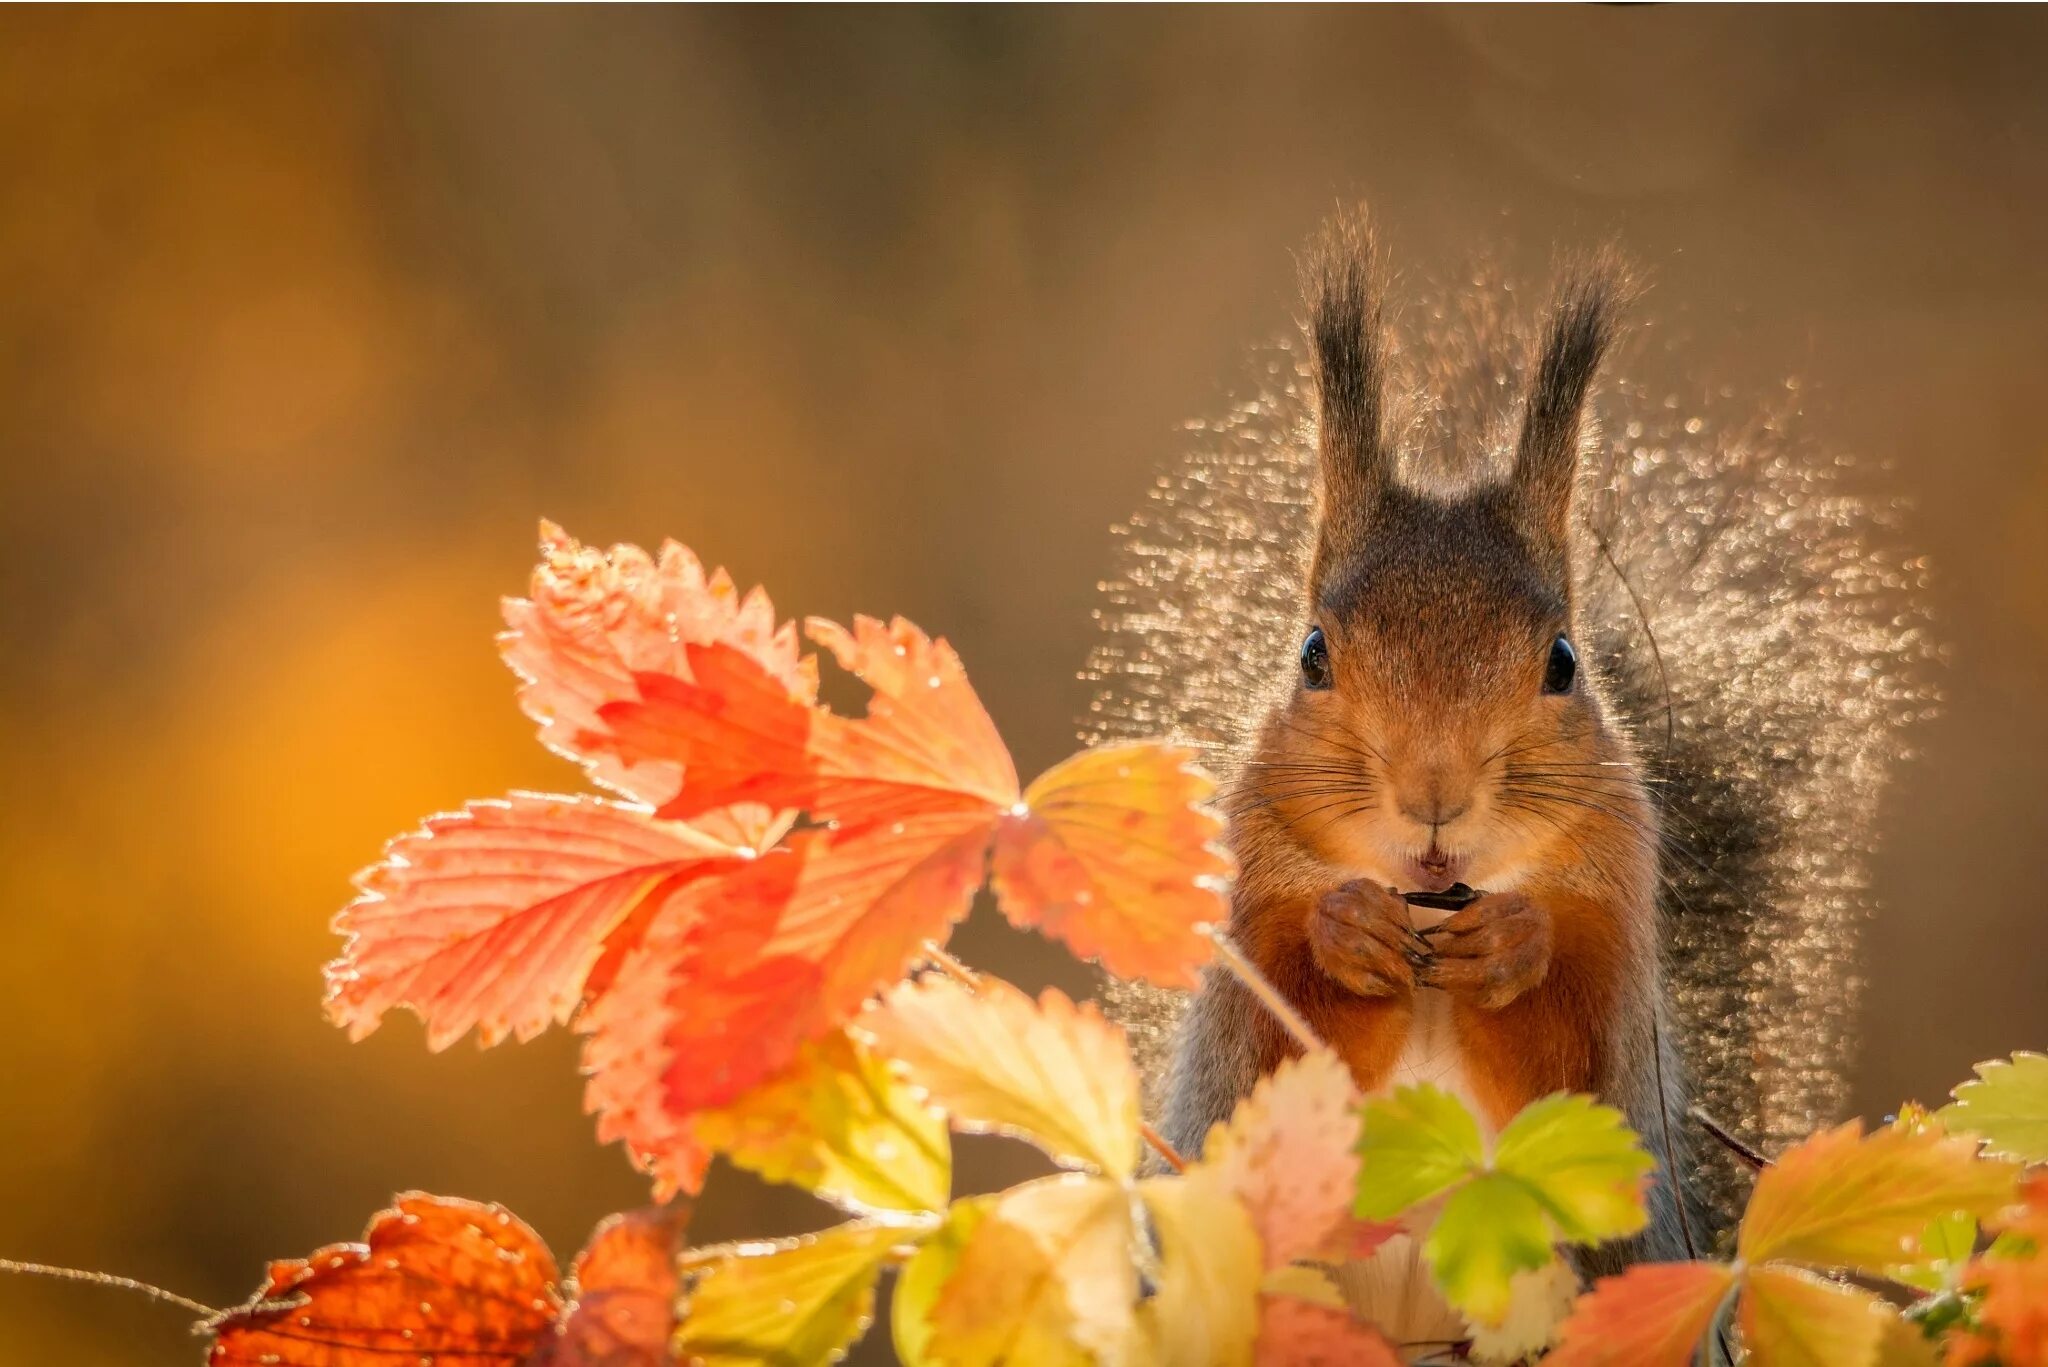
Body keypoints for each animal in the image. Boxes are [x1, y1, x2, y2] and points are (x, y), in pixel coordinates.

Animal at [1081, 209, 1941, 1328]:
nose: (1433, 796)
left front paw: (1510, 946)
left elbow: (1566, 1069)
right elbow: (1276, 1055)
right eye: (1312, 653)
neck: (1432, 896)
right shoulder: (1241, 942)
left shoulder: (1617, 946)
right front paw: (1344, 929)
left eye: (1563, 662)